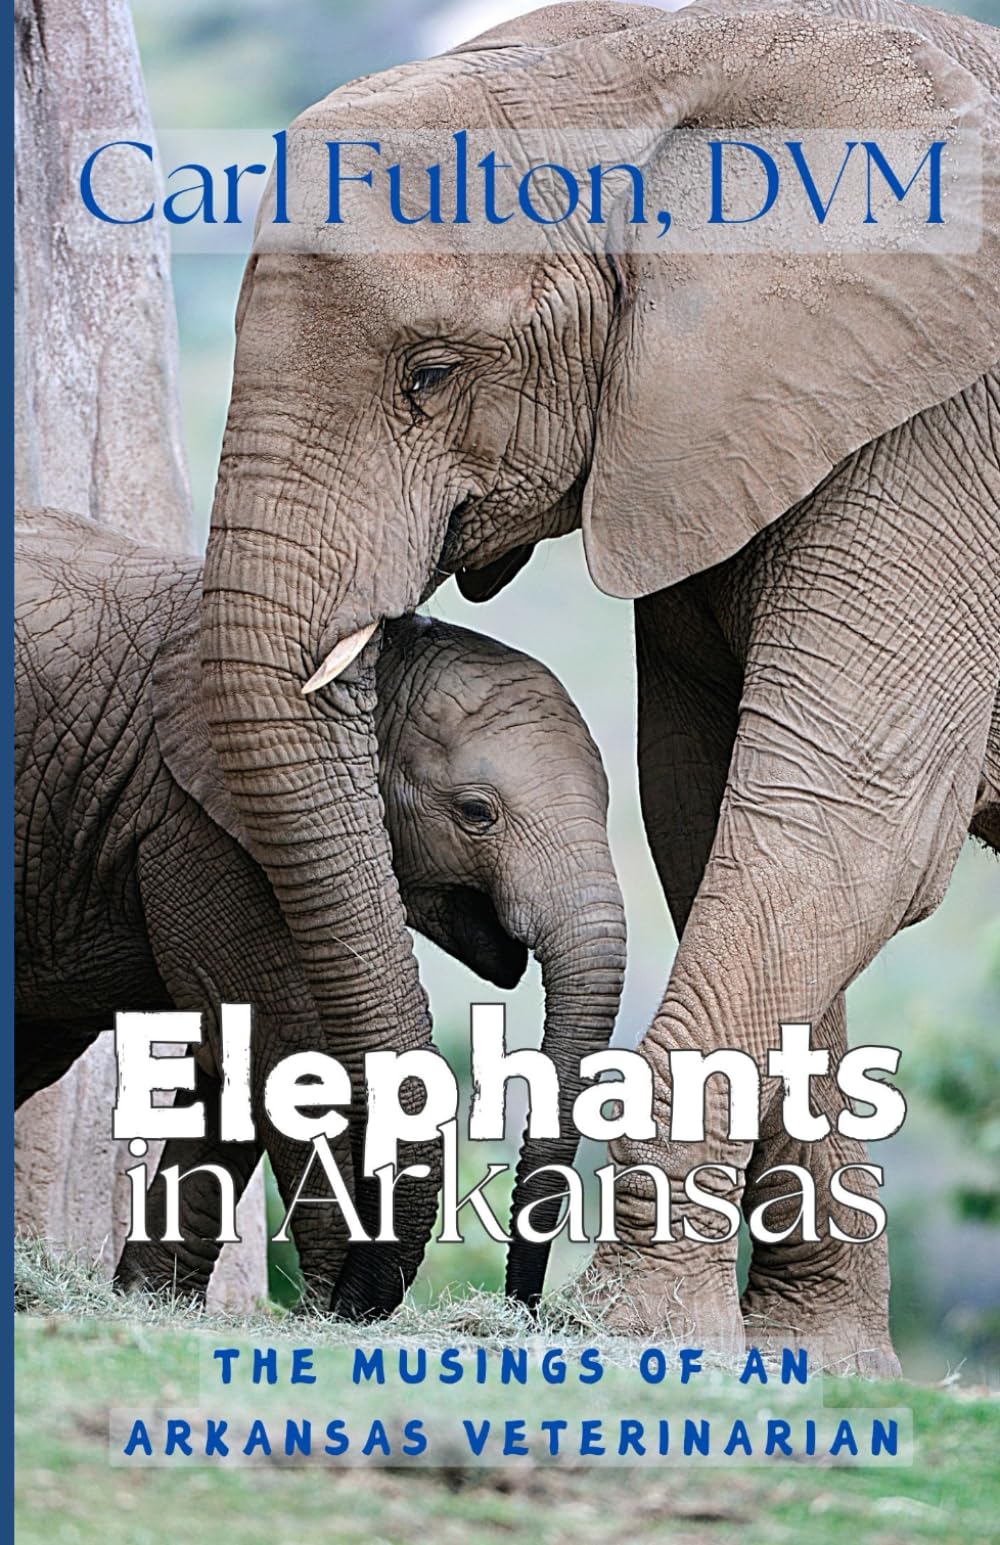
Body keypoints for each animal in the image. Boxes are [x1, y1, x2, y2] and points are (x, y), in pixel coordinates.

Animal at [14, 507, 625, 1308]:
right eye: (476, 813)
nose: (519, 1304)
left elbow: (237, 1057)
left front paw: (152, 1302)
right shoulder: (197, 822)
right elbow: (276, 1034)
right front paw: (332, 1302)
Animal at [199, 0, 1000, 1367]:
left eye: (431, 373)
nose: (509, 1299)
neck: (648, 60)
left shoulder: (934, 434)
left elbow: (841, 829)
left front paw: (629, 1335)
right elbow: (707, 814)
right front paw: (807, 1364)